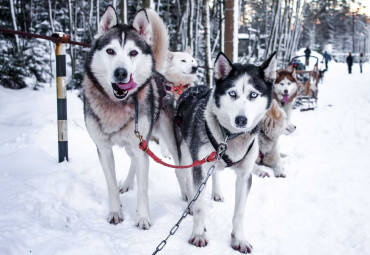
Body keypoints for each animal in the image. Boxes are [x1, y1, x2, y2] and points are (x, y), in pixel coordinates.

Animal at [82, 6, 178, 229]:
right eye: (110, 51)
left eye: (133, 53)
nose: (121, 72)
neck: (117, 106)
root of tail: (158, 74)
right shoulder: (104, 148)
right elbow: (110, 184)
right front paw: (115, 212)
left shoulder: (140, 146)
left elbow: (143, 189)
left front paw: (143, 218)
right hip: (133, 143)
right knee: (134, 160)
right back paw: (126, 184)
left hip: (163, 139)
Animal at [175, 50, 276, 252]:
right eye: (232, 93)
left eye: (253, 94)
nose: (241, 120)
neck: (230, 137)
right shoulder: (199, 168)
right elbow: (200, 206)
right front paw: (198, 234)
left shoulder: (244, 176)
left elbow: (239, 213)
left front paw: (238, 239)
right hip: (187, 158)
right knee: (188, 182)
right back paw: (190, 205)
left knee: (215, 173)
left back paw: (217, 192)